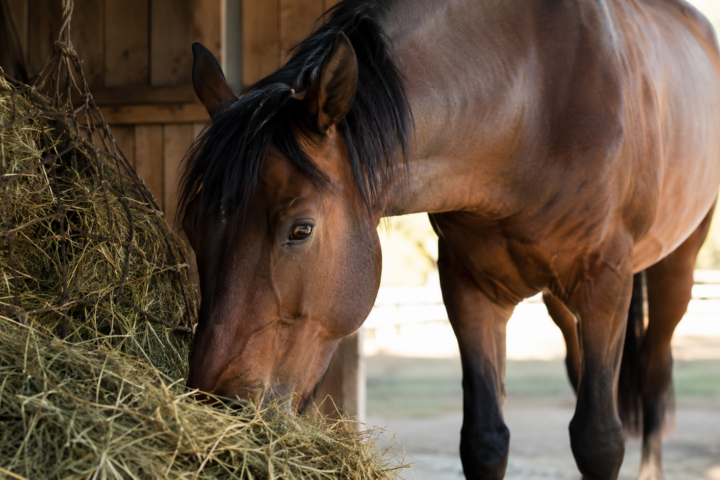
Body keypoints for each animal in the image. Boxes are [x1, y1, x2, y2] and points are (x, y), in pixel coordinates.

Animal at [179, 1, 720, 479]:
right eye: (192, 228)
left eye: (300, 229)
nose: (217, 404)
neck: (534, 100)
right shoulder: (469, 289)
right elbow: (484, 440)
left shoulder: (604, 284)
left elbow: (599, 441)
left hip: (674, 269)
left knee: (653, 371)